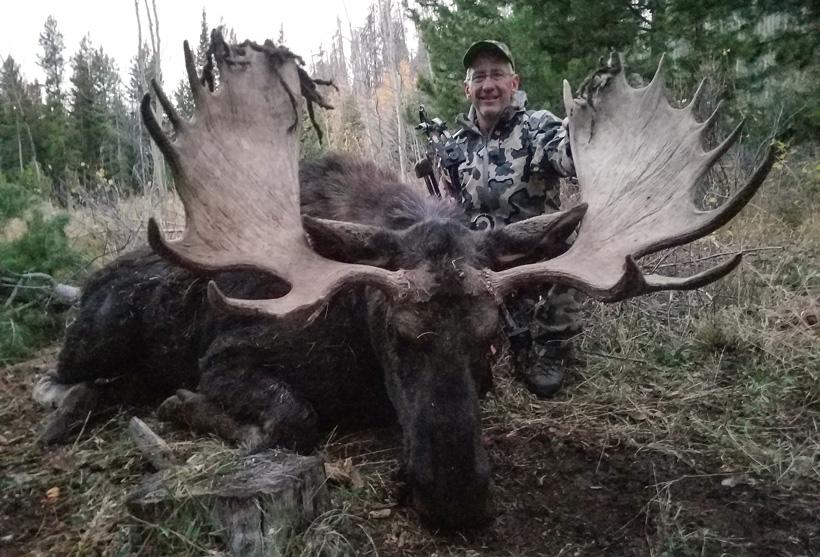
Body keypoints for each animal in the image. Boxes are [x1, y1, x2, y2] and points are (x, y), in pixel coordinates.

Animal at [36, 34, 774, 530]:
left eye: (490, 340)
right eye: (394, 337)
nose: (457, 498)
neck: (356, 352)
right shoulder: (228, 352)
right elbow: (293, 417)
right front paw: (186, 409)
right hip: (104, 324)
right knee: (63, 376)